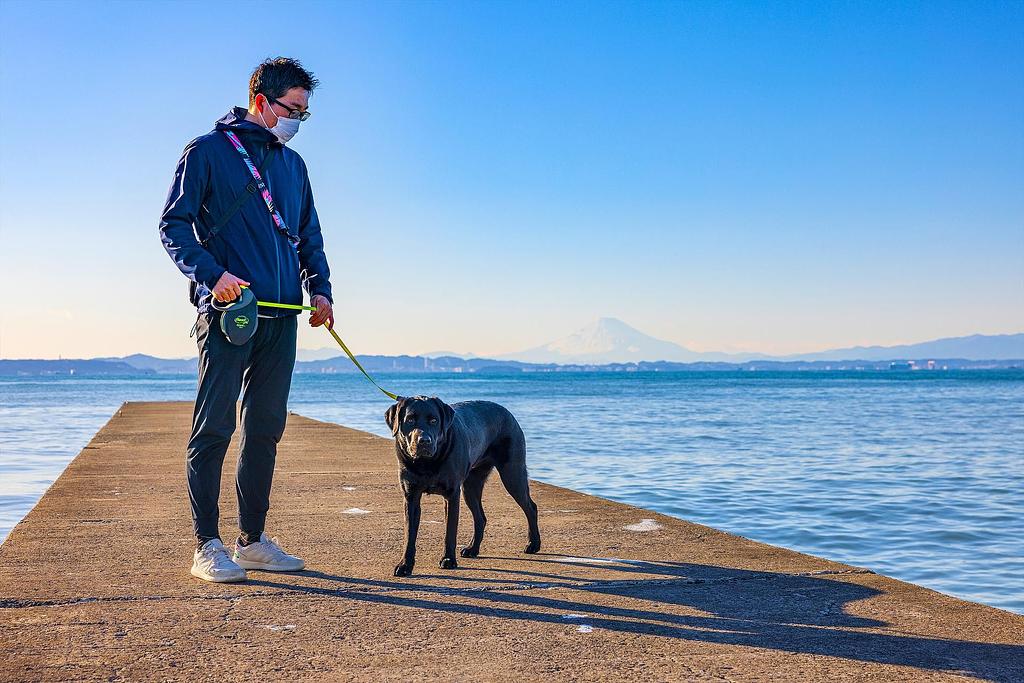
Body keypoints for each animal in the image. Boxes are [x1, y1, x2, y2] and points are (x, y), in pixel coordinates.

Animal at [385, 395, 544, 577]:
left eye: (434, 420)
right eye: (410, 420)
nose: (424, 441)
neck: (427, 463)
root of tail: (507, 413)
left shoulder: (452, 494)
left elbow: (450, 531)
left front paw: (448, 560)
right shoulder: (411, 497)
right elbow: (409, 535)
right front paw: (405, 565)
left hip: (512, 474)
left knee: (531, 507)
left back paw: (533, 544)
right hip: (471, 486)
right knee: (481, 517)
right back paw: (473, 548)